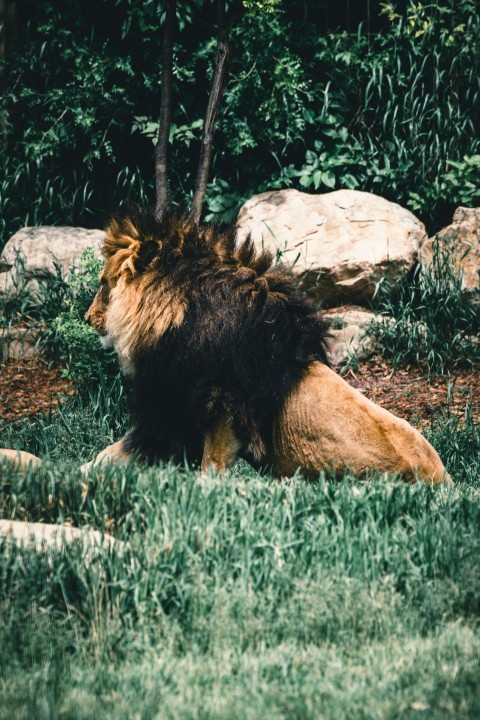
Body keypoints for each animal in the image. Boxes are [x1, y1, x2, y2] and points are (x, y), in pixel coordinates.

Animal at [84, 209, 451, 484]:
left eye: (103, 284)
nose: (88, 318)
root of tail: (444, 481)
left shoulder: (217, 403)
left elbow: (209, 464)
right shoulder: (175, 408)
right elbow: (114, 450)